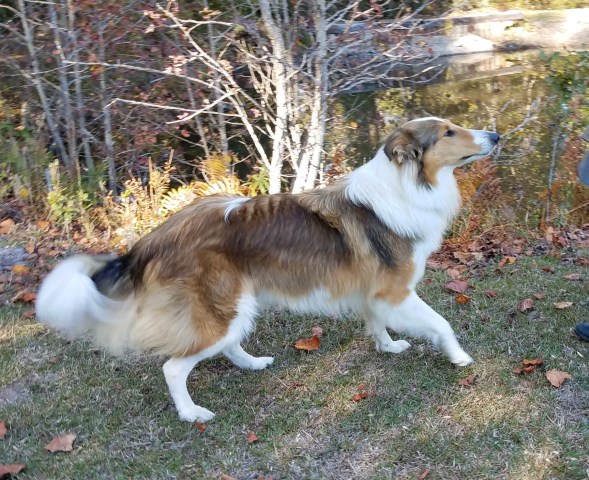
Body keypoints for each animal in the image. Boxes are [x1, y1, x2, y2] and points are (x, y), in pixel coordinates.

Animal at [35, 118, 496, 422]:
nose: (495, 135)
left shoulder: (374, 292)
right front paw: (459, 357)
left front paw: (388, 346)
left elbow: (376, 322)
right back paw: (192, 413)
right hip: (220, 307)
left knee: (227, 345)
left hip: (236, 303)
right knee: (175, 367)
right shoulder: (397, 291)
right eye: (448, 133)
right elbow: (441, 323)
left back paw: (252, 364)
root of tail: (149, 241)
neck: (406, 185)